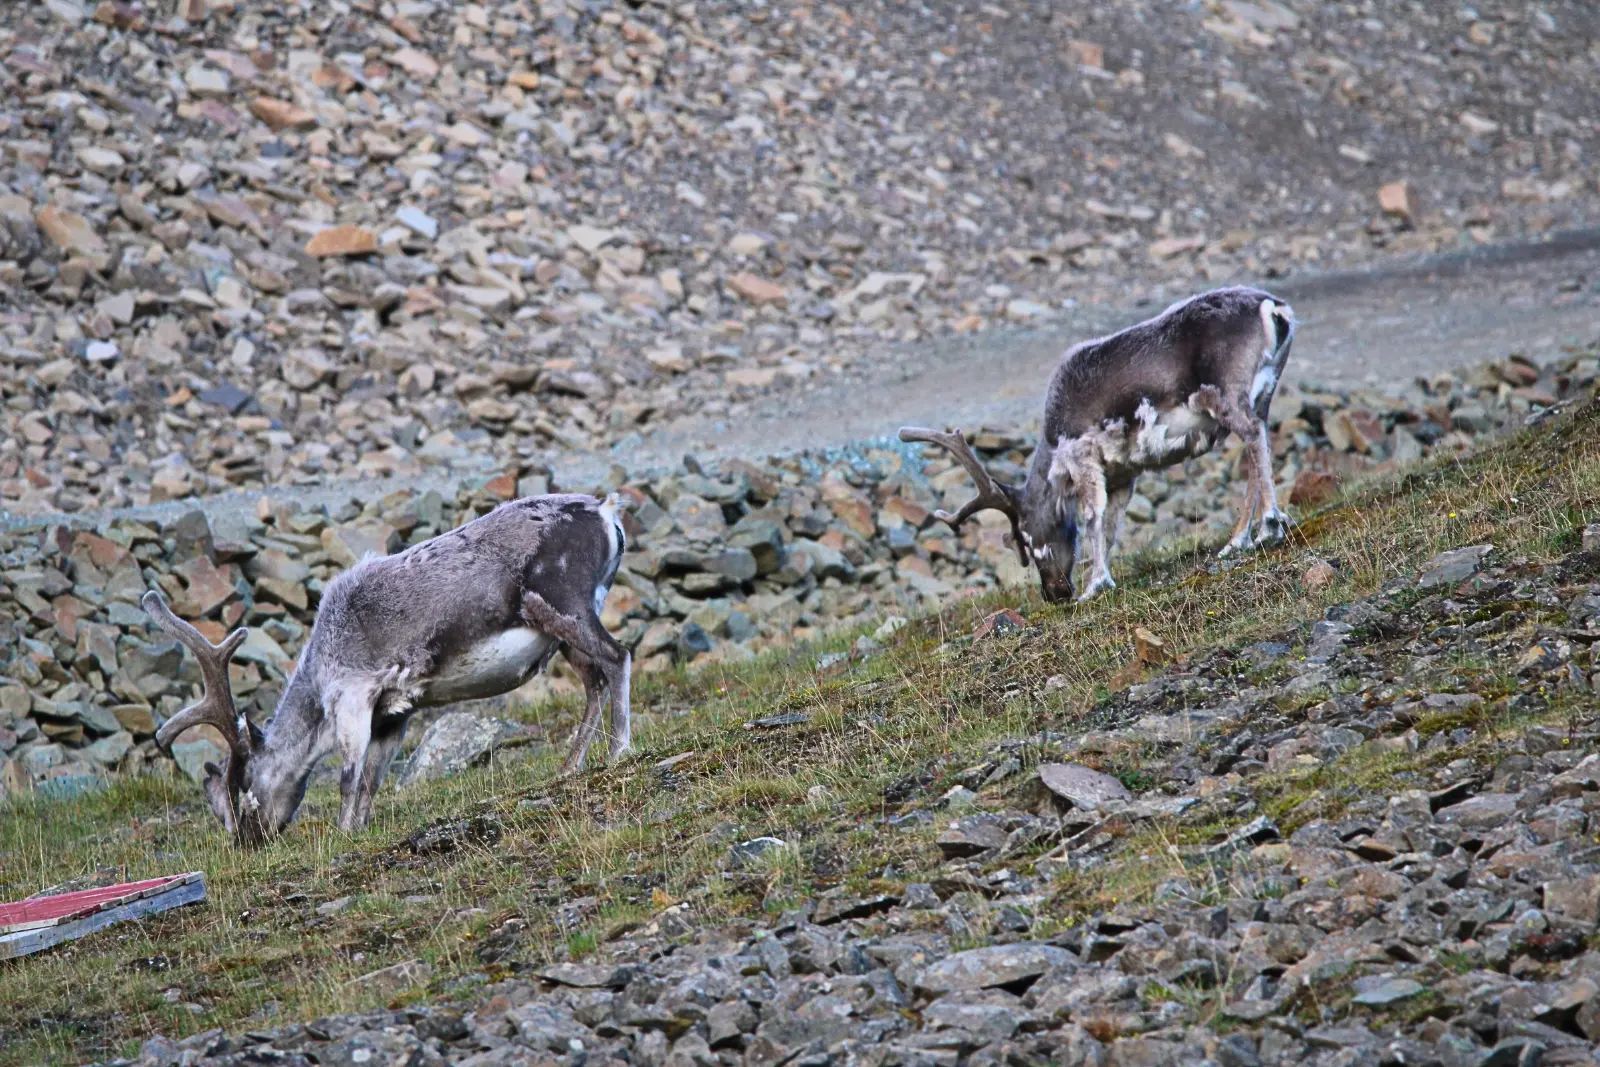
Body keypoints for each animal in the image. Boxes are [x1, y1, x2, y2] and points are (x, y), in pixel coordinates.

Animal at [143, 493, 633, 845]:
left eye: (243, 786)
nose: (247, 842)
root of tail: (607, 513)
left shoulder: (353, 695)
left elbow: (348, 776)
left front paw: (341, 835)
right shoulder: (396, 713)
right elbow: (372, 781)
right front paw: (360, 828)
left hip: (565, 605)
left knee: (618, 656)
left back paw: (618, 752)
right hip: (564, 630)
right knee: (594, 681)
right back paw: (569, 766)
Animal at [900, 286, 1297, 604]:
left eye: (1025, 538)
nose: (1054, 593)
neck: (1053, 451)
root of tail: (1273, 308)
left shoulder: (1083, 457)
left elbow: (1092, 516)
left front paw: (1094, 585)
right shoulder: (1123, 473)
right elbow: (1112, 522)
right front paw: (1103, 577)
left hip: (1225, 393)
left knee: (1253, 435)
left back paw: (1267, 528)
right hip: (1263, 392)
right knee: (1257, 439)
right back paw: (1237, 540)